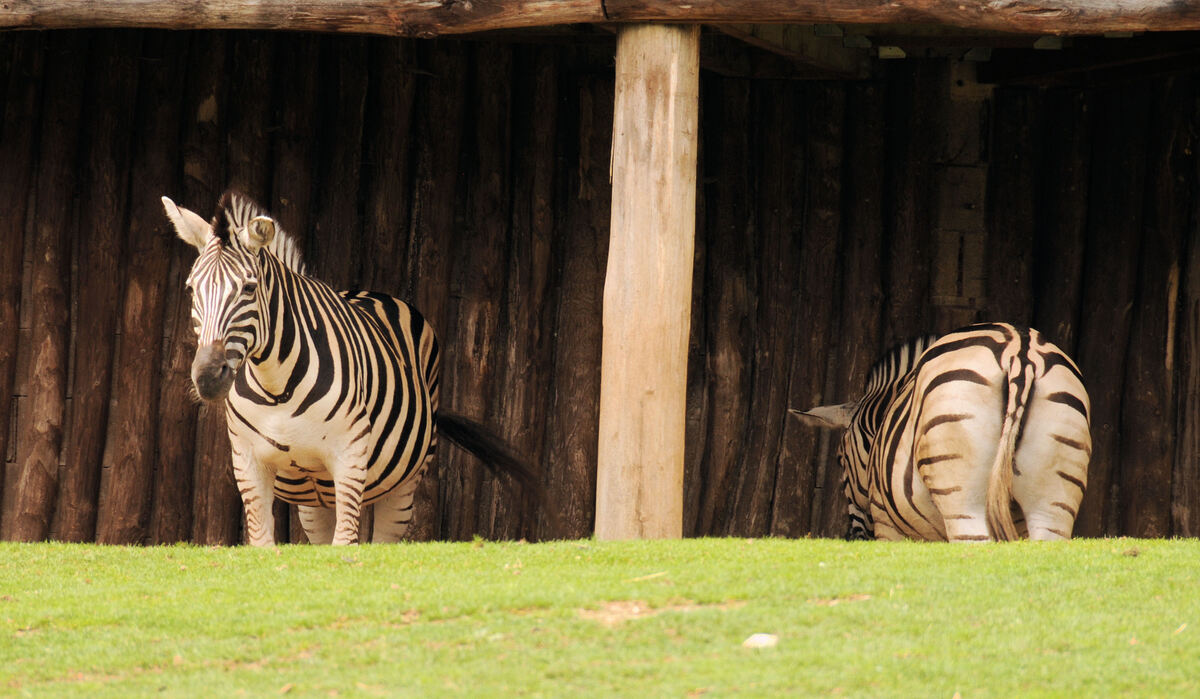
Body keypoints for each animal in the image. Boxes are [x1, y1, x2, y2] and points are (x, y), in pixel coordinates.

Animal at [163, 190, 549, 547]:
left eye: (248, 288)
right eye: (191, 289)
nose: (207, 377)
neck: (277, 388)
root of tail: (371, 292)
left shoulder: (349, 457)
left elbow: (346, 545)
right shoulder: (248, 462)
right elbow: (263, 541)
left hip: (402, 484)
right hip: (314, 499)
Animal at [792, 326, 1094, 545]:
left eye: (840, 460)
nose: (851, 537)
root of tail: (1020, 353)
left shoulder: (887, 523)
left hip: (962, 501)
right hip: (1053, 504)